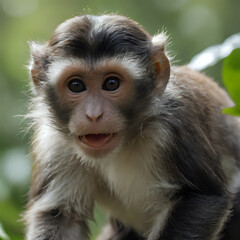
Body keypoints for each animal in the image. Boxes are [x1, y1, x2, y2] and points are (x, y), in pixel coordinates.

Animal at [24, 14, 240, 240]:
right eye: (76, 85)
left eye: (111, 83)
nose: (93, 114)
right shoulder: (52, 143)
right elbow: (61, 215)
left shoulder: (176, 123)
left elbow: (201, 199)